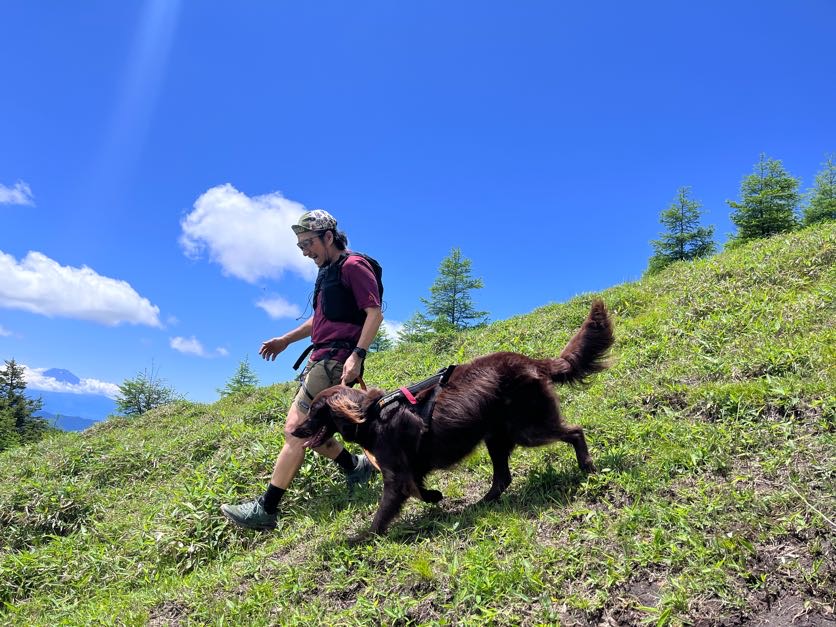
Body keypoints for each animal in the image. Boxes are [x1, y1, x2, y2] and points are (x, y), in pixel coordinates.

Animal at [294, 300, 612, 536]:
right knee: (502, 478)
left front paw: (363, 538)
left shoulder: (396, 476)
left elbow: (385, 510)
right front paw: (435, 496)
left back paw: (587, 466)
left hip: (527, 428)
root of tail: (533, 362)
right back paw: (480, 504)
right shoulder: (410, 471)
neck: (373, 415)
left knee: (574, 431)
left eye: (314, 412)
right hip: (497, 436)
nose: (295, 431)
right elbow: (418, 490)